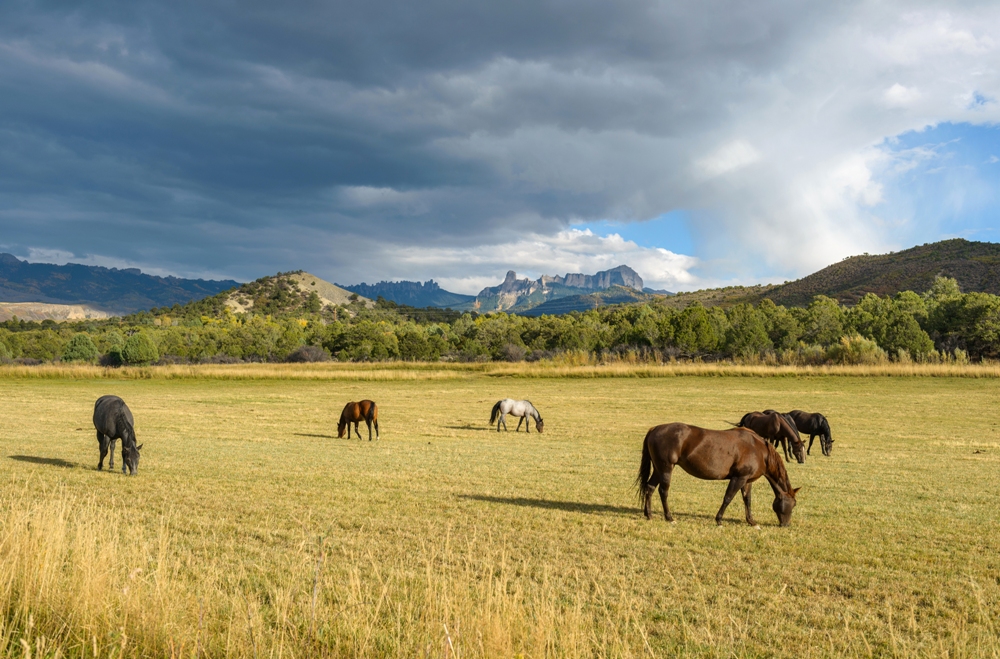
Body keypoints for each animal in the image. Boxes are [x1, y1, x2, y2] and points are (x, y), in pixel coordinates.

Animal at [636, 426, 800, 528]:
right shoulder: (738, 478)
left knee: (650, 488)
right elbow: (728, 498)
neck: (757, 449)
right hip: (666, 469)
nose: (786, 525)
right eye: (793, 504)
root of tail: (654, 429)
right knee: (663, 492)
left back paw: (649, 514)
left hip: (658, 469)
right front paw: (719, 520)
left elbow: (747, 500)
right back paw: (669, 518)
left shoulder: (747, 480)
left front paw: (752, 522)